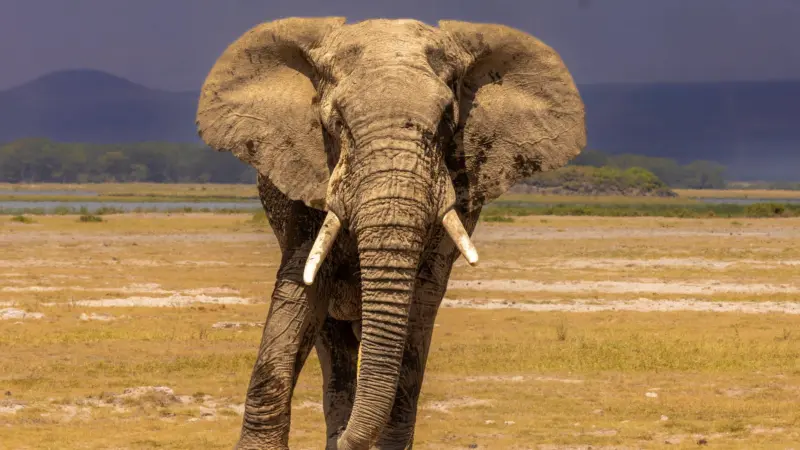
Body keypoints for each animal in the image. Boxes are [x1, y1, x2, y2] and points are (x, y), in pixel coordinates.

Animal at [195, 17, 586, 450]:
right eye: (337, 122)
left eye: (447, 122)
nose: (346, 441)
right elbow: (301, 293)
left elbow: (417, 313)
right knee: (335, 345)